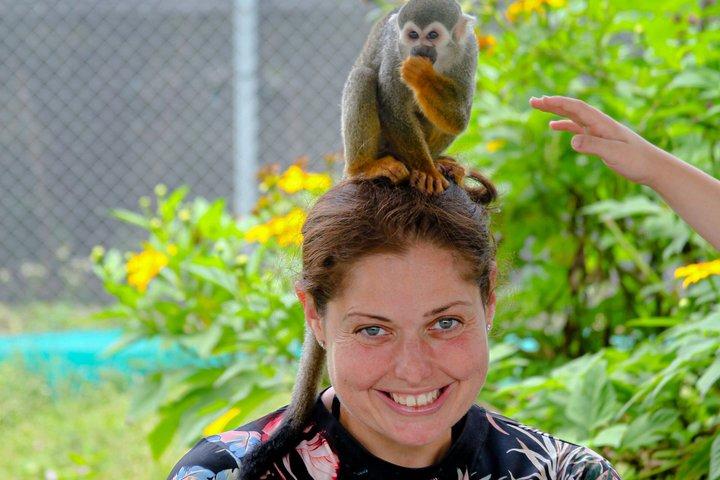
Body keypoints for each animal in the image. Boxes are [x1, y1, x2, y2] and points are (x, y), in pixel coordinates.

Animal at [342, 0, 478, 195]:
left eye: (433, 35)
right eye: (413, 35)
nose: (420, 49)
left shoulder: (469, 49)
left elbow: (459, 118)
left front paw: (422, 75)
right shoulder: (394, 50)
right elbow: (393, 107)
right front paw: (427, 171)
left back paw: (436, 161)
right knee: (363, 75)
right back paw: (362, 168)